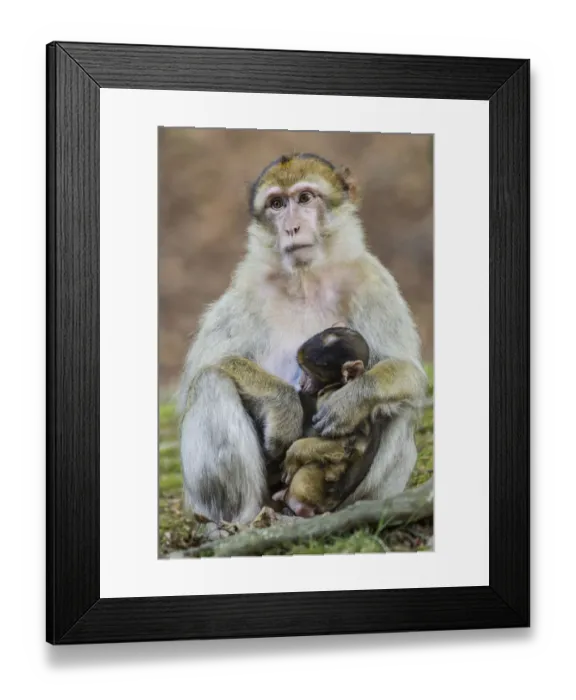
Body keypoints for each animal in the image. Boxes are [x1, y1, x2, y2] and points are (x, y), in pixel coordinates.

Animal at [178, 152, 428, 526]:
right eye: (277, 204)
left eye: (305, 198)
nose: (292, 228)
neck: (306, 279)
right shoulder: (249, 284)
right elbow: (203, 367)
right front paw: (283, 406)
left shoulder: (371, 278)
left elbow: (409, 372)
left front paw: (353, 400)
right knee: (211, 381)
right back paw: (244, 521)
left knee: (399, 406)